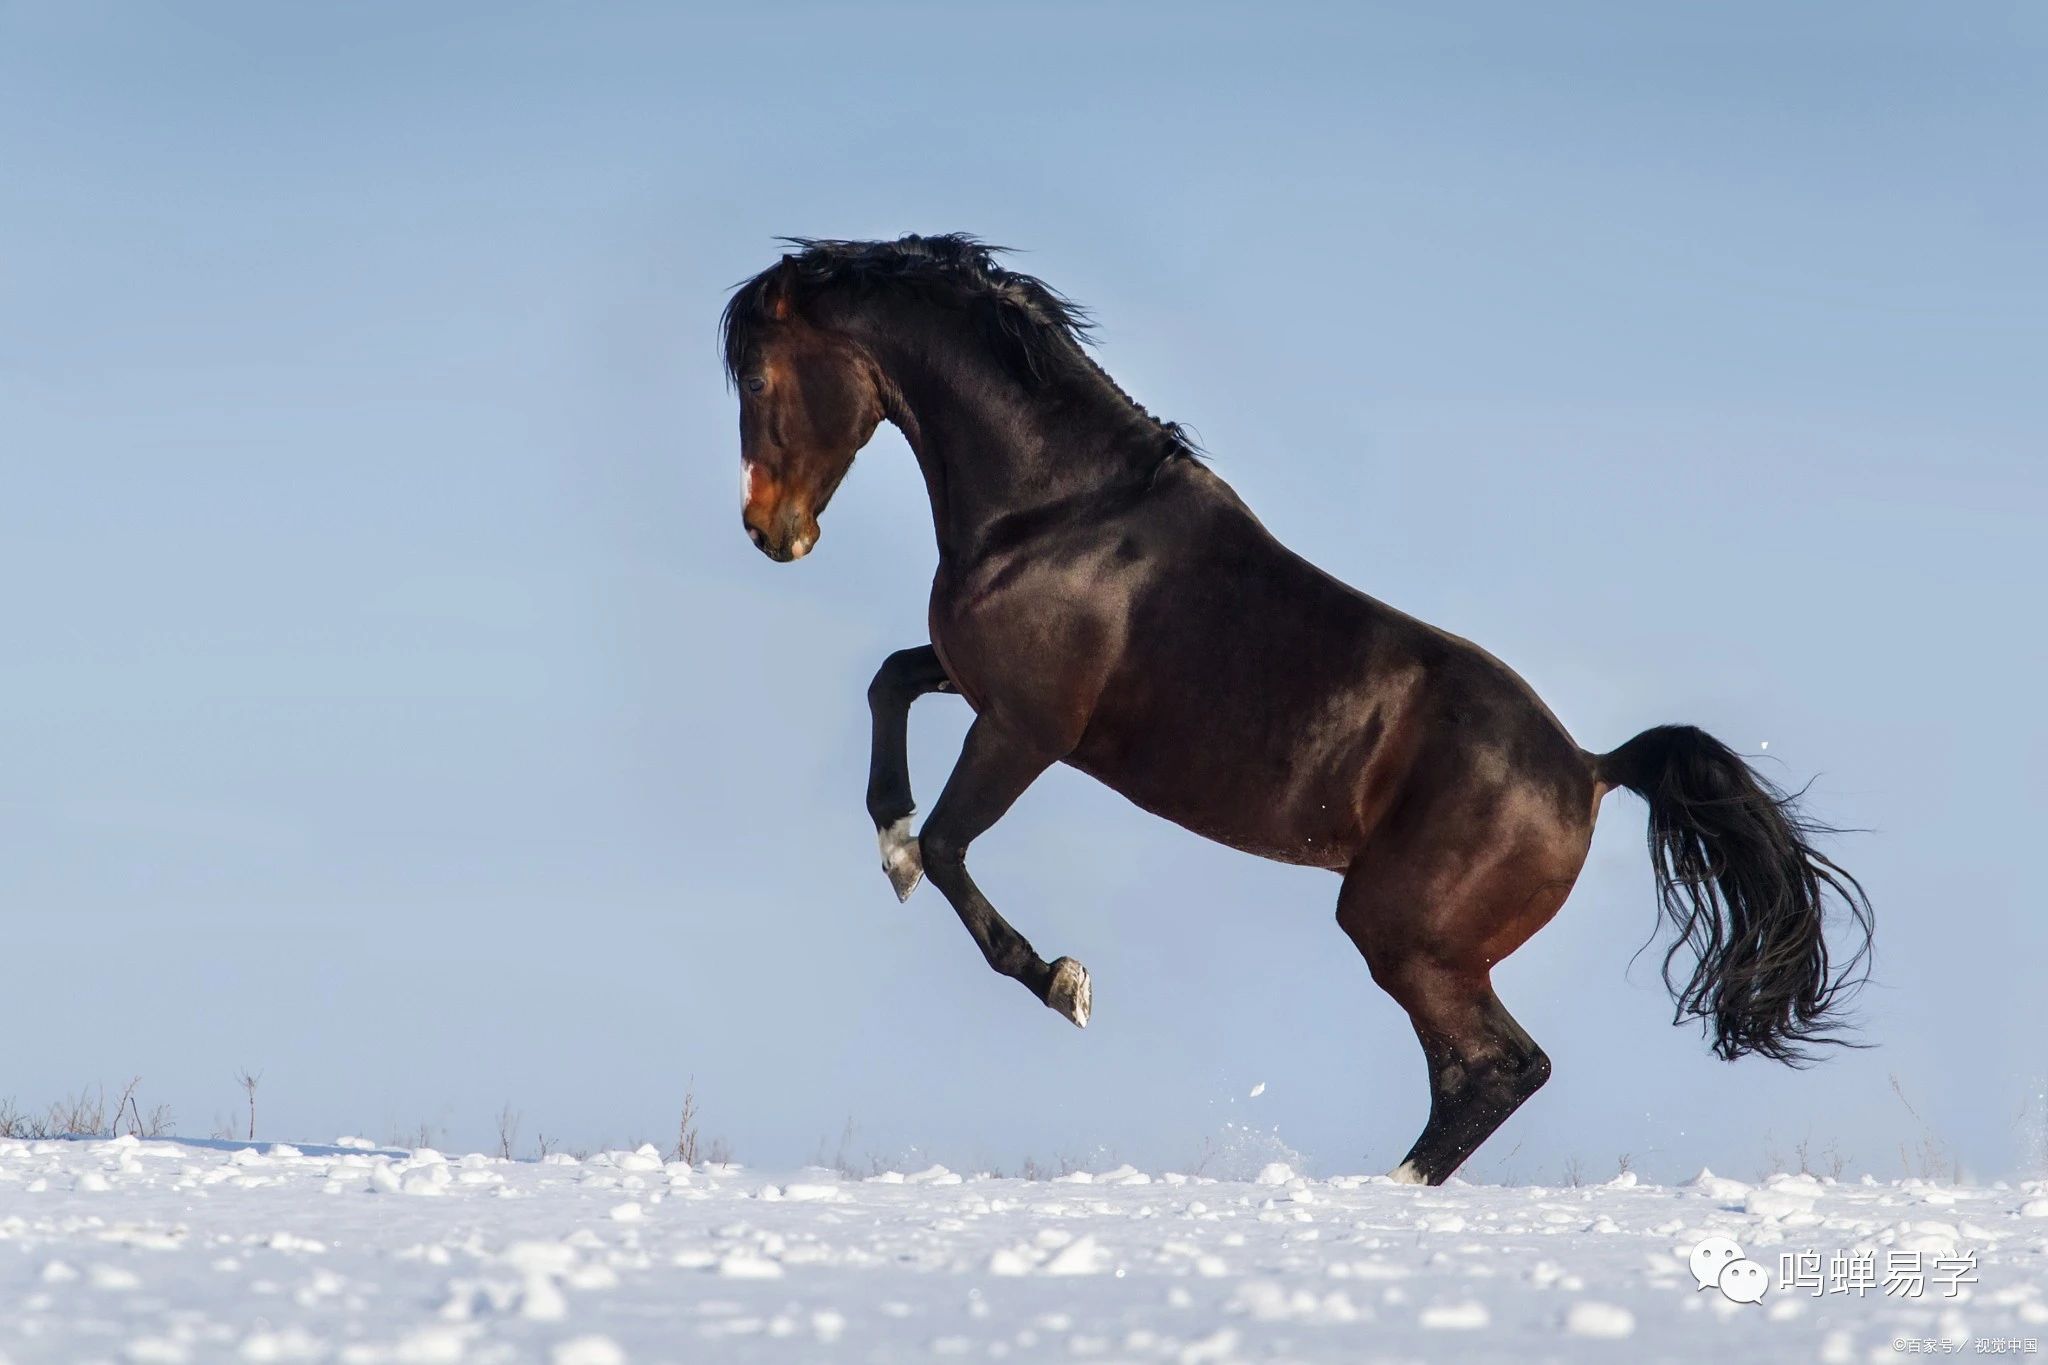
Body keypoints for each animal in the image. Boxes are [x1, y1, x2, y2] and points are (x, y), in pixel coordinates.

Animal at [720, 235, 1875, 1186]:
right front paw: (891, 847)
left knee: (1498, 1068)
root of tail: (1591, 768)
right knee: (1483, 1074)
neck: (1055, 507)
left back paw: (1384, 1190)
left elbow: (958, 851)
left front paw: (1063, 982)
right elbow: (888, 686)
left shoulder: (1024, 730)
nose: (768, 531)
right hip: (1418, 942)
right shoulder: (978, 685)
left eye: (758, 374)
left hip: (1404, 936)